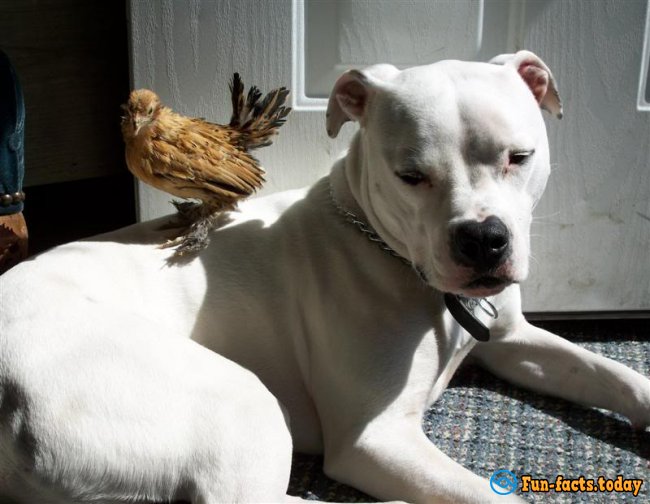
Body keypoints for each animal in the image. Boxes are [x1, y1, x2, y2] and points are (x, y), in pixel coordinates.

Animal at [1, 52, 648, 504]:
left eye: (520, 156)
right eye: (410, 175)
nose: (483, 239)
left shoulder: (512, 343)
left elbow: (613, 375)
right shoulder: (375, 439)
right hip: (240, 403)